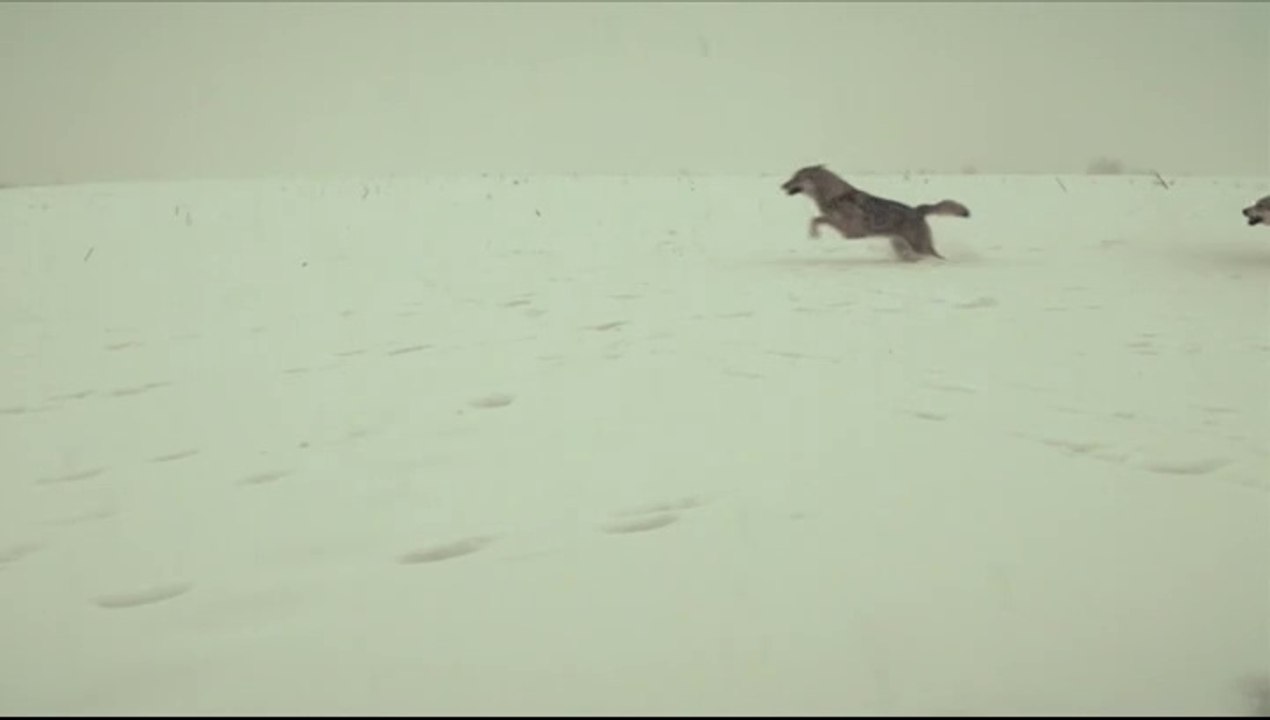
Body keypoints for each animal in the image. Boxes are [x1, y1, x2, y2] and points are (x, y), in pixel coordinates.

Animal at [781, 164, 970, 261]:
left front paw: (814, 234)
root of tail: (918, 209)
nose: (781, 185)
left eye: (796, 177)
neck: (834, 196)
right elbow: (817, 218)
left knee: (936, 256)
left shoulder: (850, 232)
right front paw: (813, 233)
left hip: (919, 247)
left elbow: (817, 218)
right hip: (902, 248)